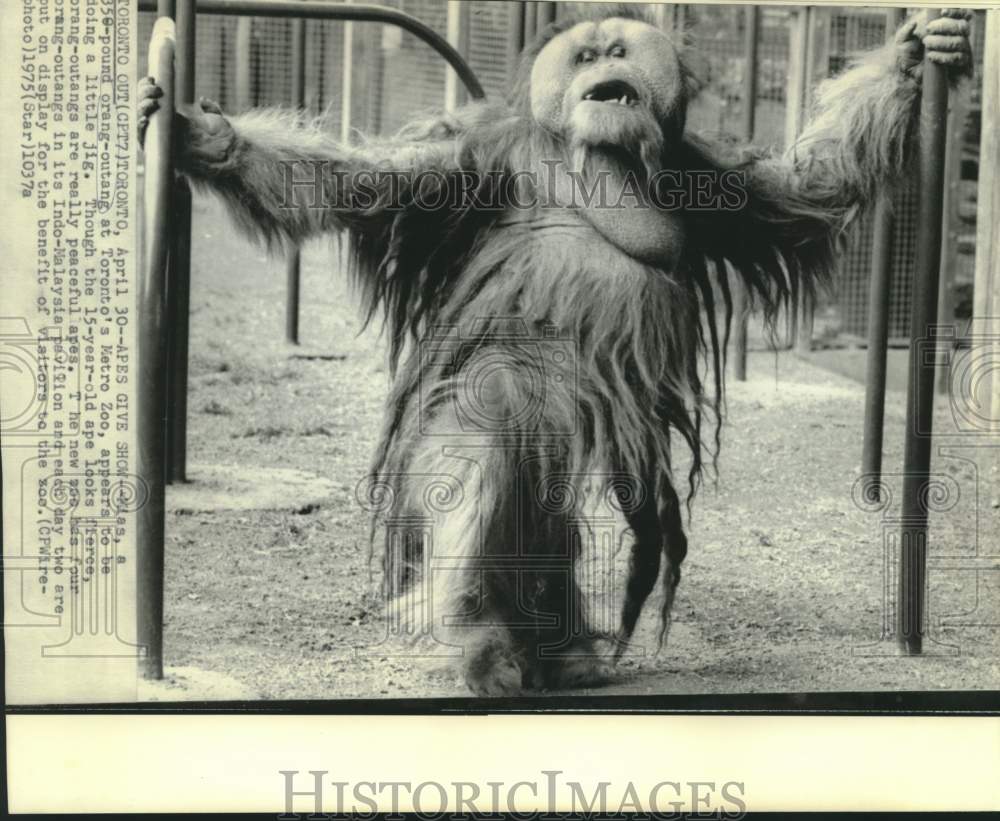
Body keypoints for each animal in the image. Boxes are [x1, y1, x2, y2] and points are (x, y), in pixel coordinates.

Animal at [138, 5, 972, 696]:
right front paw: (201, 136)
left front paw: (919, 53)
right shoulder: (472, 164)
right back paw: (479, 635)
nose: (605, 75)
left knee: (545, 506)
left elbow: (809, 180)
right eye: (585, 59)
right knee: (493, 426)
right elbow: (355, 181)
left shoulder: (714, 179)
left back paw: (556, 651)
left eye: (619, 53)